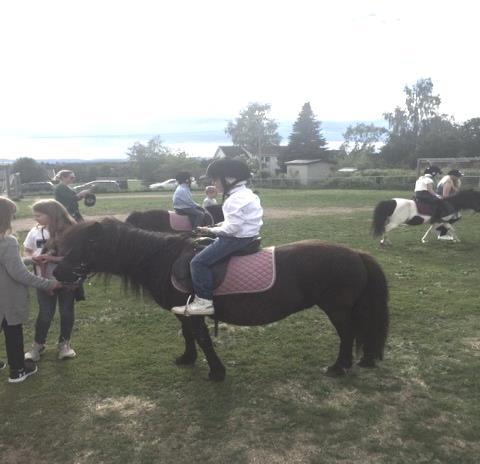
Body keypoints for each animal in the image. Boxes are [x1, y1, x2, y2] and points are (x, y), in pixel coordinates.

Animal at [54, 220, 388, 380]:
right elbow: (189, 336)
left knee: (347, 335)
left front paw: (216, 372)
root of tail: (356, 253)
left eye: (84, 244)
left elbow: (203, 339)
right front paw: (187, 359)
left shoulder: (195, 312)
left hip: (337, 309)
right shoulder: (183, 312)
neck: (163, 259)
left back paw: (339, 367)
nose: (56, 271)